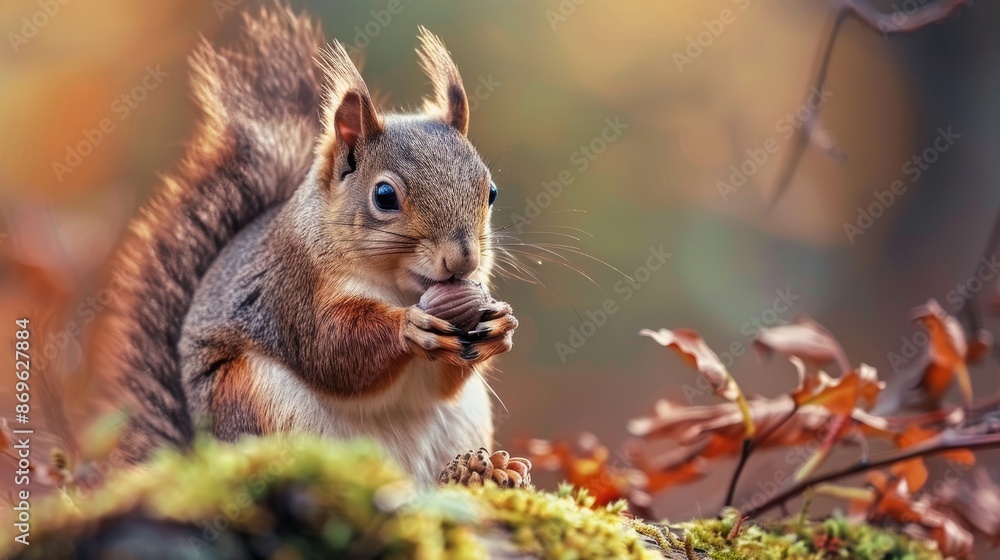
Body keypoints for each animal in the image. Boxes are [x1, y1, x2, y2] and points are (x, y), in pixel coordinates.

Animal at [99, 5, 517, 483]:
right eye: (384, 196)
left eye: (491, 192)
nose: (463, 259)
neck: (399, 287)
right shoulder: (292, 289)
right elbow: (330, 347)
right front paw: (409, 327)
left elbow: (443, 381)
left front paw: (501, 326)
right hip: (254, 398)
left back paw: (488, 470)